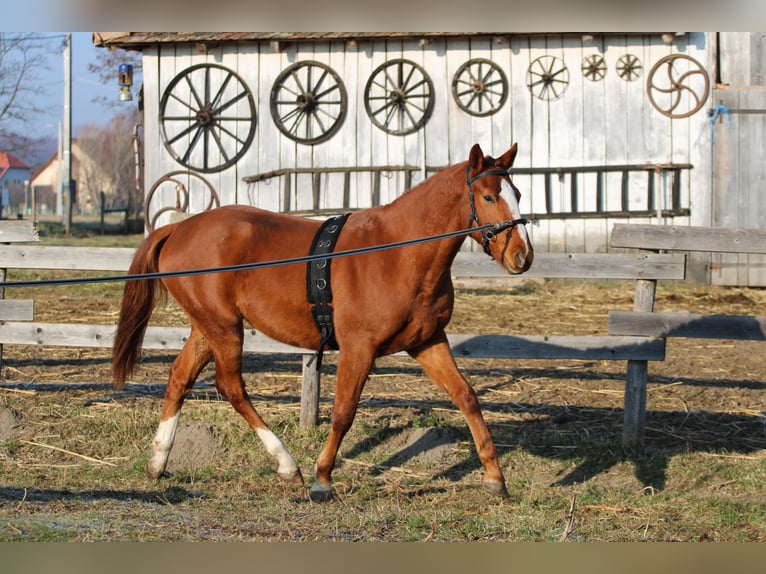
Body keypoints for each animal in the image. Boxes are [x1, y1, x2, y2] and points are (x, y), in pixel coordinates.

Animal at [112, 142, 534, 501]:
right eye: (488, 196)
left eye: (518, 193)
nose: (522, 256)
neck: (399, 254)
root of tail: (178, 228)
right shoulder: (358, 349)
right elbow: (344, 412)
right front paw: (322, 480)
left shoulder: (428, 342)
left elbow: (467, 397)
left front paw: (495, 479)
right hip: (224, 328)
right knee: (231, 386)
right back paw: (287, 465)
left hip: (207, 327)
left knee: (180, 377)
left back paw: (157, 462)